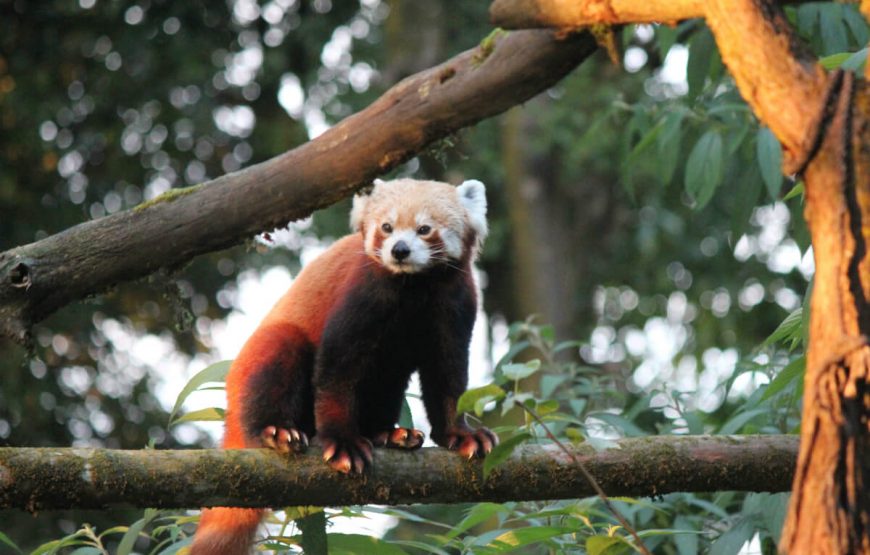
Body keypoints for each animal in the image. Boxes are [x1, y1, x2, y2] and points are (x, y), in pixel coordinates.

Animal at [192, 178, 500, 555]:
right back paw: (275, 431)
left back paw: (389, 434)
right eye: (387, 227)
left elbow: (447, 377)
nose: (399, 250)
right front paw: (342, 441)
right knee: (279, 356)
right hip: (260, 362)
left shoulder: (454, 303)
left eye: (425, 229)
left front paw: (461, 433)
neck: (414, 287)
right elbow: (337, 371)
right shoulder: (361, 296)